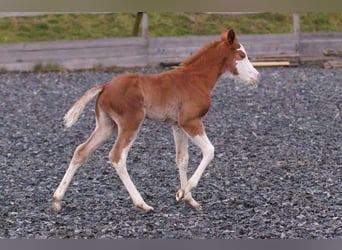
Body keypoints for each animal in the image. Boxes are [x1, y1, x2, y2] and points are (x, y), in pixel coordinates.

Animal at [52, 29, 260, 213]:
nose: (257, 76)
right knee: (117, 156)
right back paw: (142, 203)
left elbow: (182, 159)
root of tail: (105, 86)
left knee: (81, 151)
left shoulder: (177, 125)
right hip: (131, 123)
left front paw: (188, 198)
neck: (195, 79)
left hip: (106, 126)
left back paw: (57, 199)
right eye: (242, 55)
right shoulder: (191, 121)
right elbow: (209, 151)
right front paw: (184, 191)